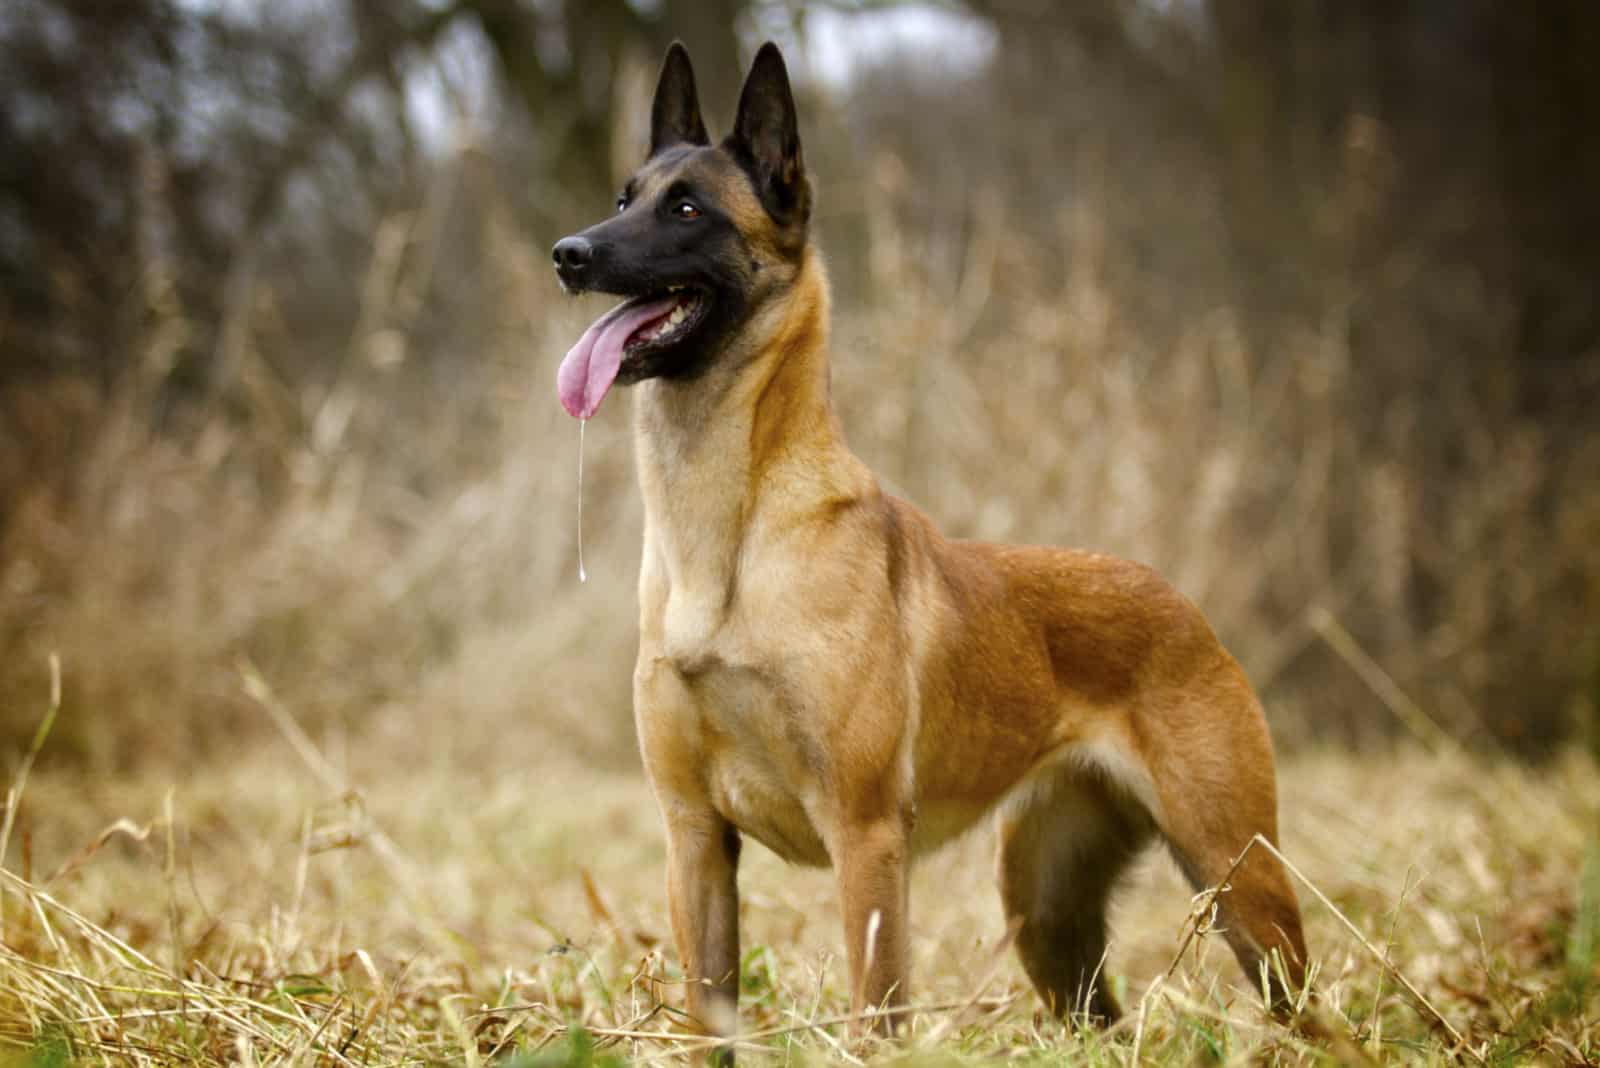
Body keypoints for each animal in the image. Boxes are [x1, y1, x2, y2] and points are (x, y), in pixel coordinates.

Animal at [556, 39, 1305, 1042]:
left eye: (687, 209)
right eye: (623, 195)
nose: (569, 254)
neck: (726, 544)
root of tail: (1181, 602)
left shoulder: (865, 838)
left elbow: (877, 1012)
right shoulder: (696, 842)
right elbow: (712, 1017)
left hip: (1239, 880)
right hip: (1047, 912)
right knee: (1096, 1015)